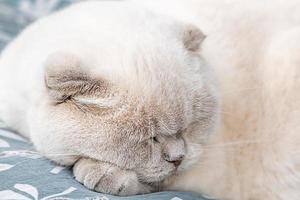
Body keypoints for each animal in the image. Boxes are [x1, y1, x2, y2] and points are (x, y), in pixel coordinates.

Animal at [0, 0, 300, 199]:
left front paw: (99, 174)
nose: (178, 157)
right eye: (151, 138)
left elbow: (145, 182)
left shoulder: (212, 169)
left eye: (189, 127)